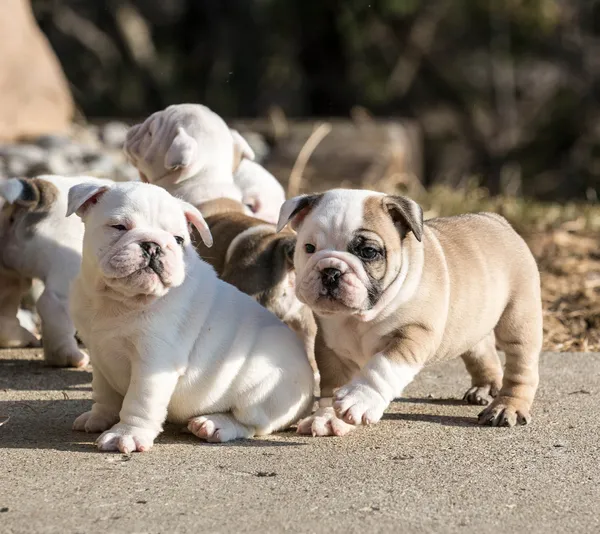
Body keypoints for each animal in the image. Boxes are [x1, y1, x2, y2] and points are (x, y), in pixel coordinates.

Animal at [278, 191, 548, 438]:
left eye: (368, 252)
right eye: (308, 248)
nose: (330, 271)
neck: (358, 317)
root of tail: (496, 219)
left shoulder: (413, 333)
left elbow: (381, 367)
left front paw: (360, 399)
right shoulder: (331, 349)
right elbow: (332, 385)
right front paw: (326, 417)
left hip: (518, 319)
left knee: (520, 367)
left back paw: (506, 407)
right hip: (472, 323)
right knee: (481, 350)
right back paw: (485, 386)